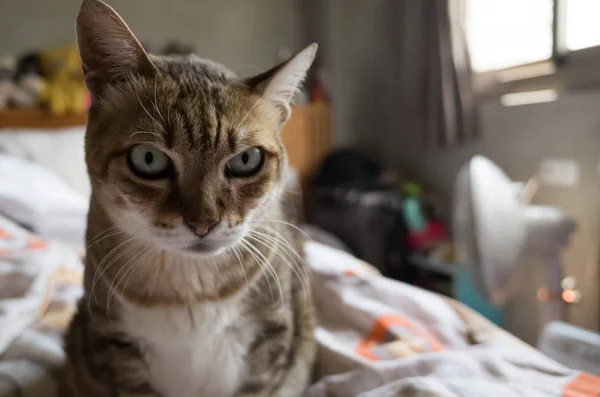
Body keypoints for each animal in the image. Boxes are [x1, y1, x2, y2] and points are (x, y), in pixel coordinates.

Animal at [63, 1, 318, 394]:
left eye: (247, 160)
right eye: (148, 159)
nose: (203, 223)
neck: (191, 294)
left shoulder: (274, 340)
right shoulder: (114, 346)